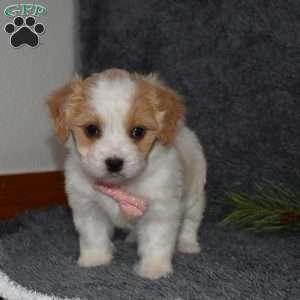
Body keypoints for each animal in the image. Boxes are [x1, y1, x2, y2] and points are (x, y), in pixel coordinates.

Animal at [47, 69, 206, 280]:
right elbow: (93, 236)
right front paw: (95, 259)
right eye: (92, 129)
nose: (114, 163)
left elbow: (156, 241)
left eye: (138, 131)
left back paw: (188, 245)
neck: (121, 187)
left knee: (190, 223)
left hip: (195, 196)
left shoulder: (161, 211)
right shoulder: (88, 208)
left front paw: (154, 269)